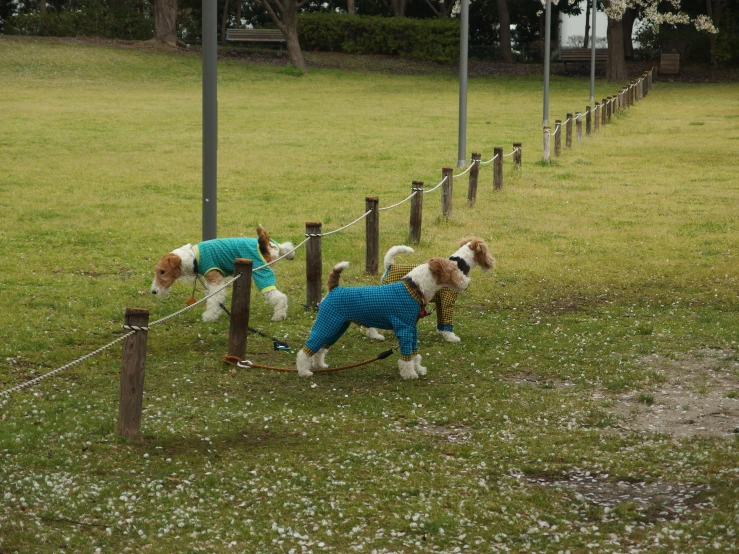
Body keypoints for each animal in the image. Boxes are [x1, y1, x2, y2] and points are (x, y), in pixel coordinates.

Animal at [150, 222, 294, 322]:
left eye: (162, 271)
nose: (154, 291)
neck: (193, 258)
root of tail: (265, 247)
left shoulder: (215, 280)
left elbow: (213, 300)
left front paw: (209, 317)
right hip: (272, 251)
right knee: (285, 246)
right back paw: (290, 254)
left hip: (262, 274)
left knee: (280, 297)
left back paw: (279, 316)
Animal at [298, 256, 472, 378]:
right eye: (453, 270)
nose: (467, 282)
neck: (415, 288)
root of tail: (334, 289)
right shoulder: (404, 329)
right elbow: (407, 357)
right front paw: (409, 374)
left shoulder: (412, 329)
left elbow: (415, 354)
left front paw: (419, 369)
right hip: (327, 324)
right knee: (305, 351)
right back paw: (304, 372)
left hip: (336, 327)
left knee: (320, 349)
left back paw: (320, 365)